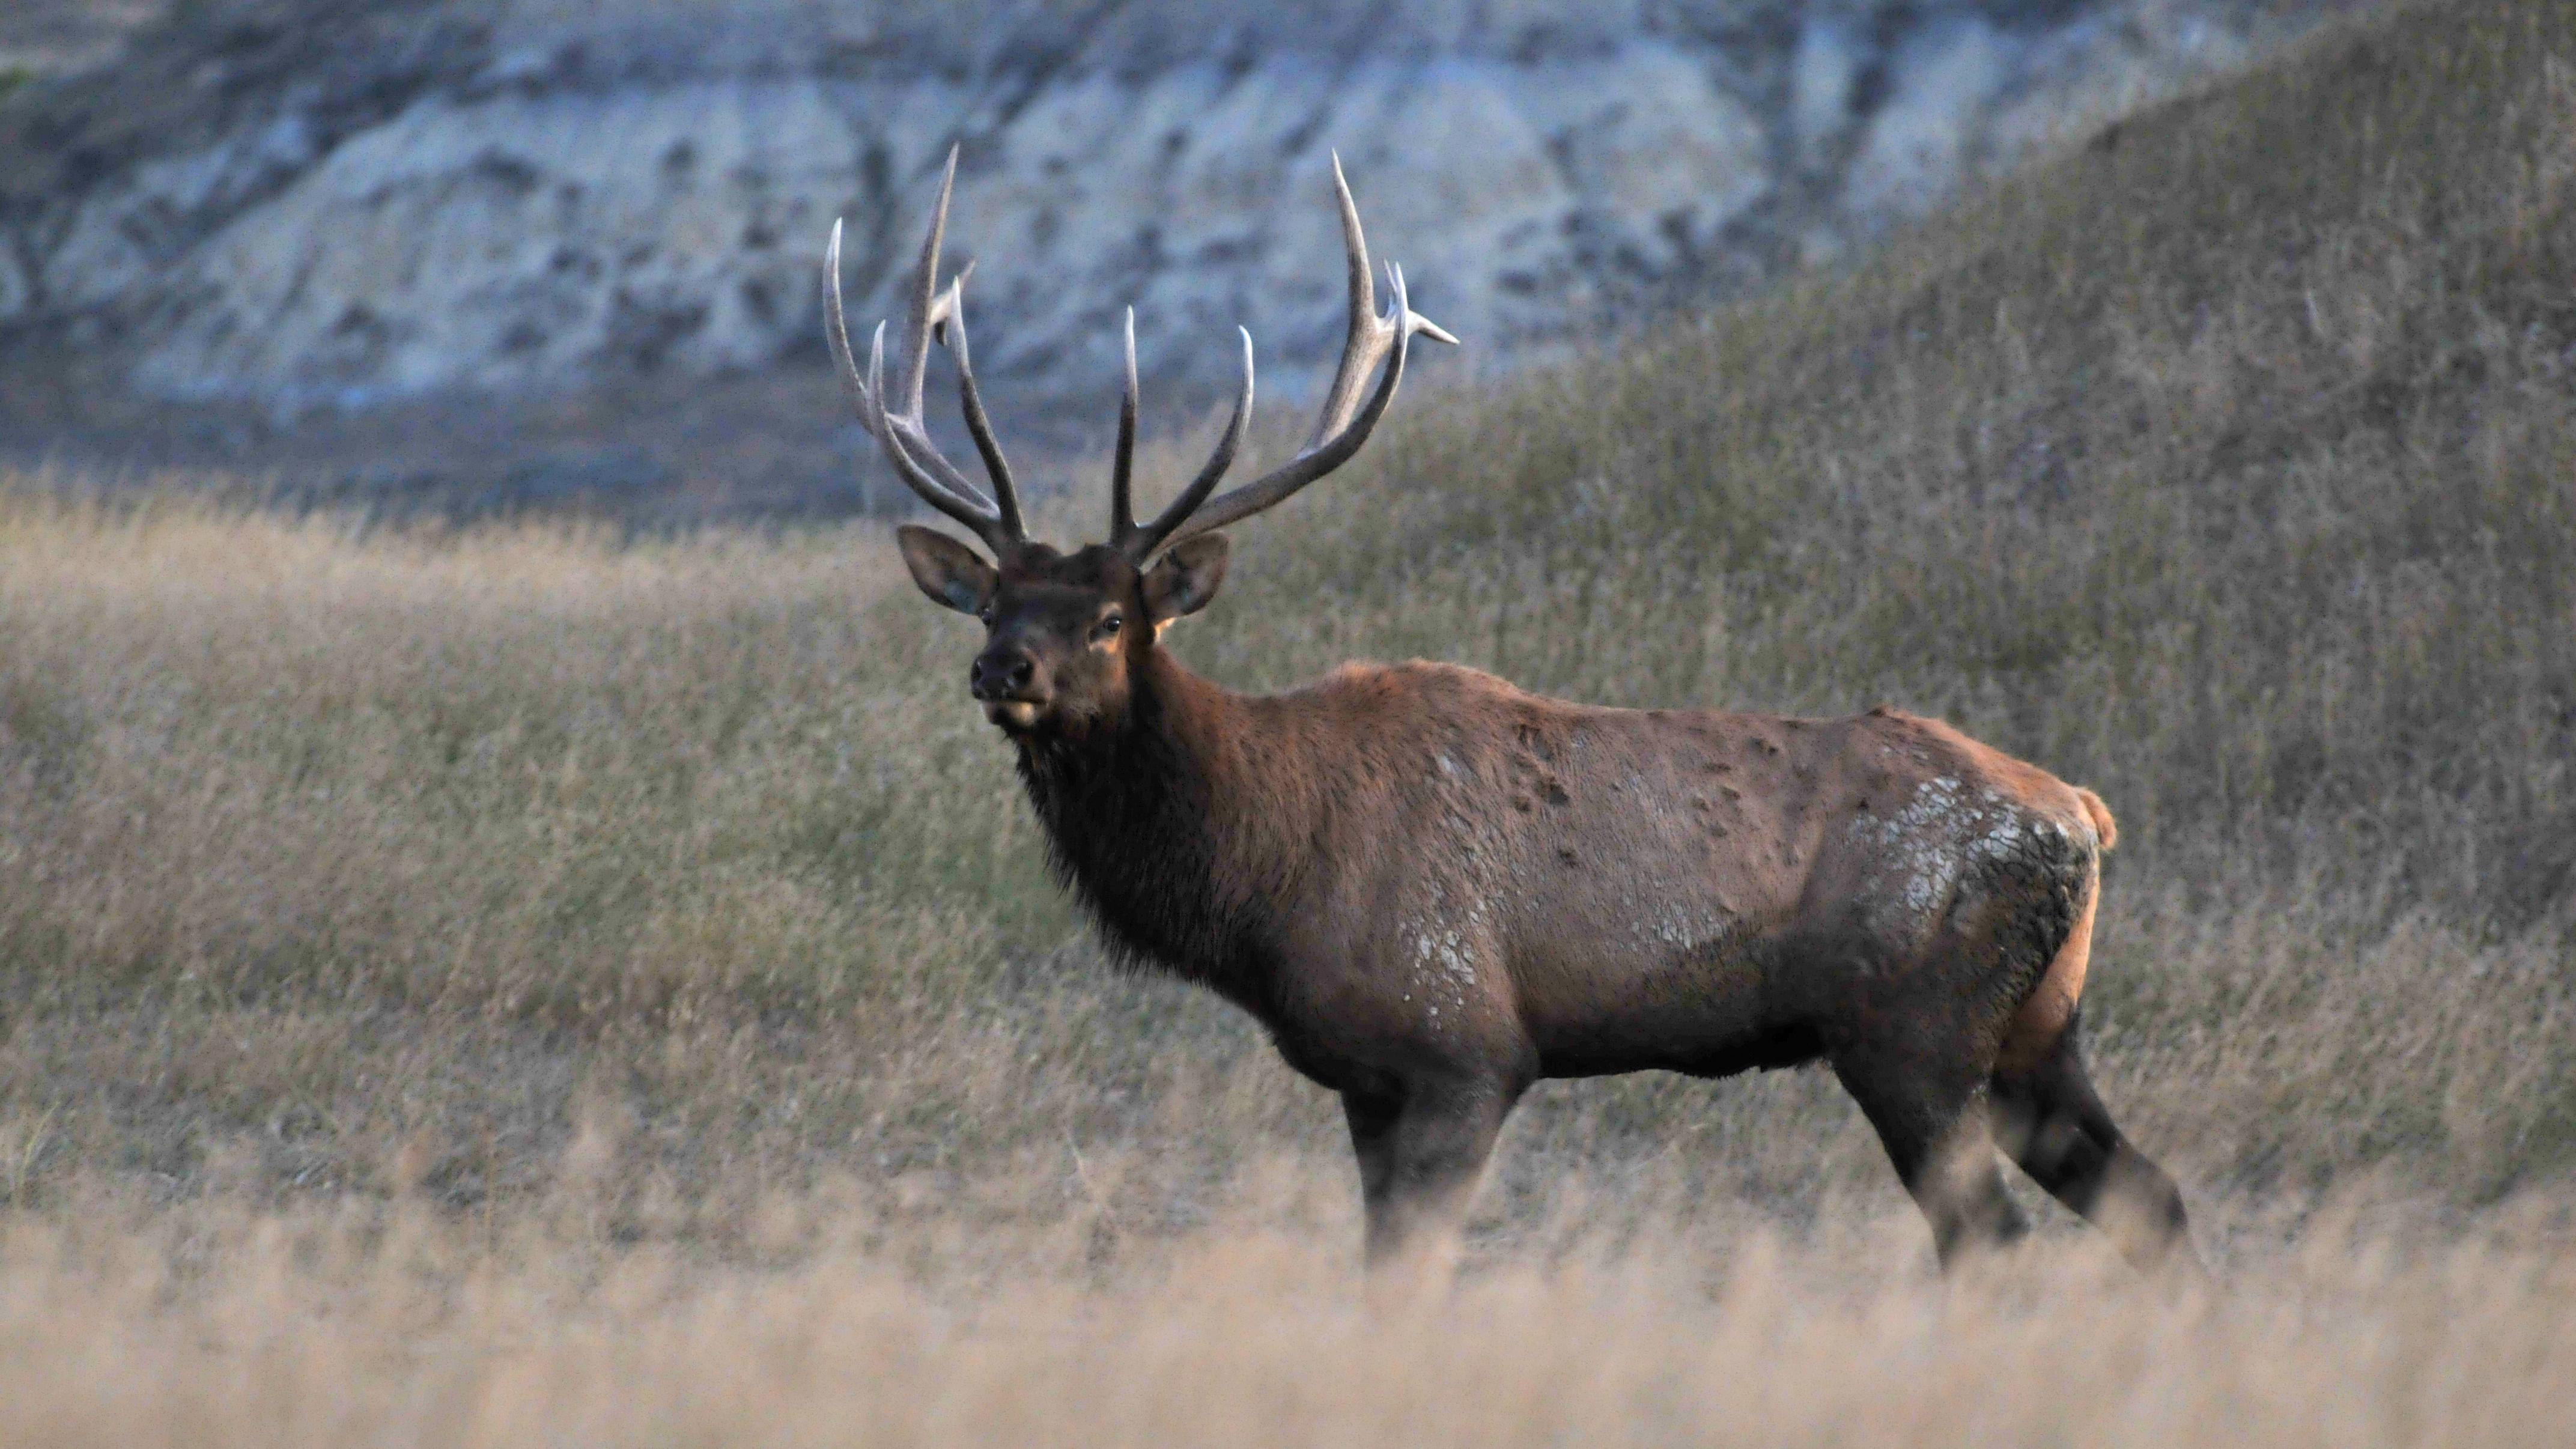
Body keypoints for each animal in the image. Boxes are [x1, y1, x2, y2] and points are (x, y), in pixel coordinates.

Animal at [824, 149, 2204, 1285]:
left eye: (1111, 619)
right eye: (991, 600)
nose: (1003, 670)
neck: (1262, 880)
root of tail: (2082, 817)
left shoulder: (1463, 1046)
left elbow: (1408, 1276)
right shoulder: (1364, 1082)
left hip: (1914, 1027)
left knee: (1991, 1237)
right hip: (2037, 1028)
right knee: (2150, 1199)